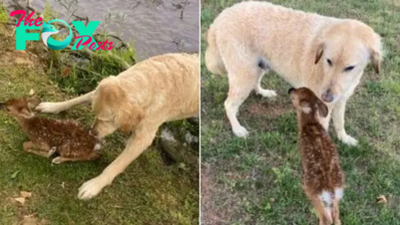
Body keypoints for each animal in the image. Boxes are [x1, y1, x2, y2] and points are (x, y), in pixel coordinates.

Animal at [35, 53, 198, 200]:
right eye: (94, 113)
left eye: (108, 120)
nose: (92, 132)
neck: (150, 80)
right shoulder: (97, 91)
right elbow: (76, 99)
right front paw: (52, 106)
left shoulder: (142, 138)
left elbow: (116, 165)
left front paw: (94, 186)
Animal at [205, 1, 382, 146]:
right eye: (329, 61)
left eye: (350, 67)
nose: (326, 97)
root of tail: (221, 17)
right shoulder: (321, 109)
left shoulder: (340, 101)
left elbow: (340, 123)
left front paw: (344, 138)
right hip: (245, 74)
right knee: (228, 104)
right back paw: (237, 129)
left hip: (259, 67)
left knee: (252, 86)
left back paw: (263, 92)